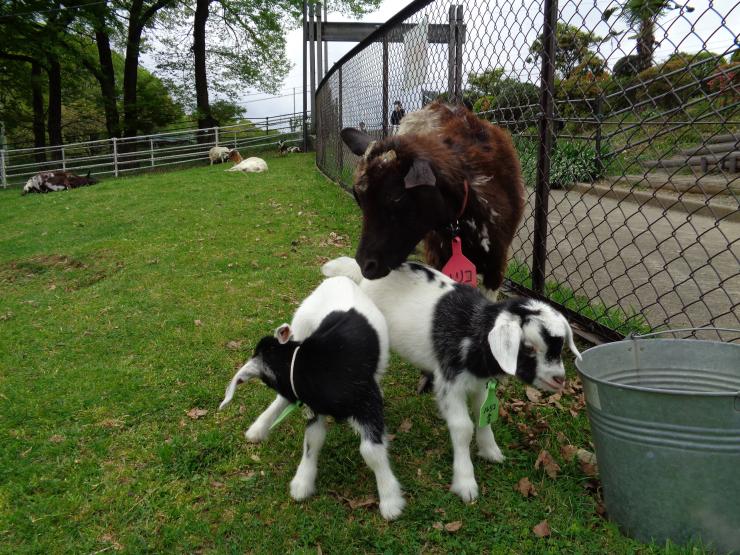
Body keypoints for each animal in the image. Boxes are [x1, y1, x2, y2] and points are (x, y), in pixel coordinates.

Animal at [320, 258, 580, 506]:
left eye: (560, 345)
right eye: (528, 347)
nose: (559, 379)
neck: (472, 333)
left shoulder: (480, 383)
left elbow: (483, 415)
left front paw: (490, 451)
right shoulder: (450, 383)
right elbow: (463, 428)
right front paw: (466, 483)